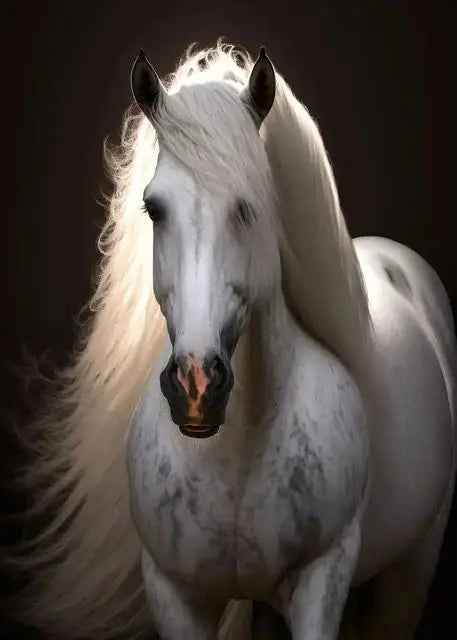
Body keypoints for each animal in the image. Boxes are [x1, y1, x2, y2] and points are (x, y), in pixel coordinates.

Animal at [4, 42, 455, 640]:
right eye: (153, 208)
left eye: (249, 207)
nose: (196, 386)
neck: (234, 456)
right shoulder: (173, 593)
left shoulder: (321, 580)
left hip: (410, 573)